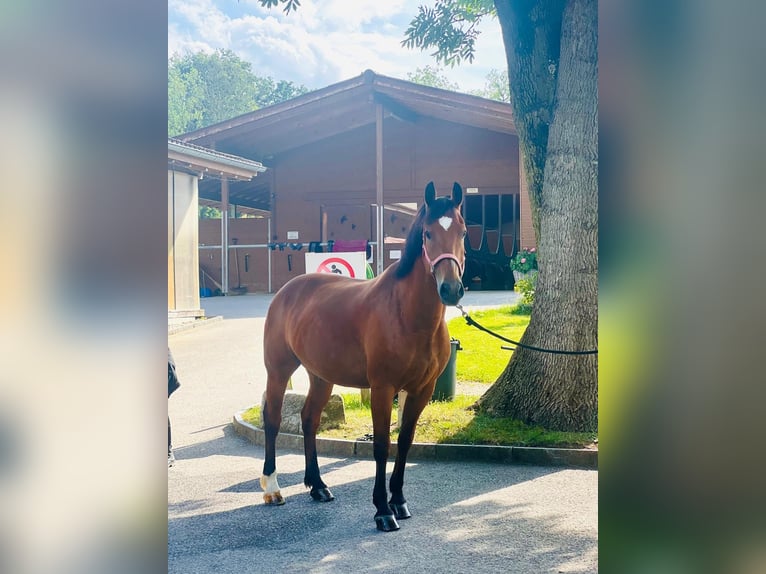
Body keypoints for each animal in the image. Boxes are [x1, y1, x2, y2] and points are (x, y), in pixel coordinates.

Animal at [260, 182, 468, 532]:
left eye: (463, 232)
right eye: (427, 233)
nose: (451, 289)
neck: (406, 314)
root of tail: (288, 290)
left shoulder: (421, 390)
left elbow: (405, 441)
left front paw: (399, 501)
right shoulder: (383, 389)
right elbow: (382, 446)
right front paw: (383, 510)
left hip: (321, 377)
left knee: (309, 420)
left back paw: (318, 486)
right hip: (278, 371)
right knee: (272, 420)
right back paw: (272, 488)